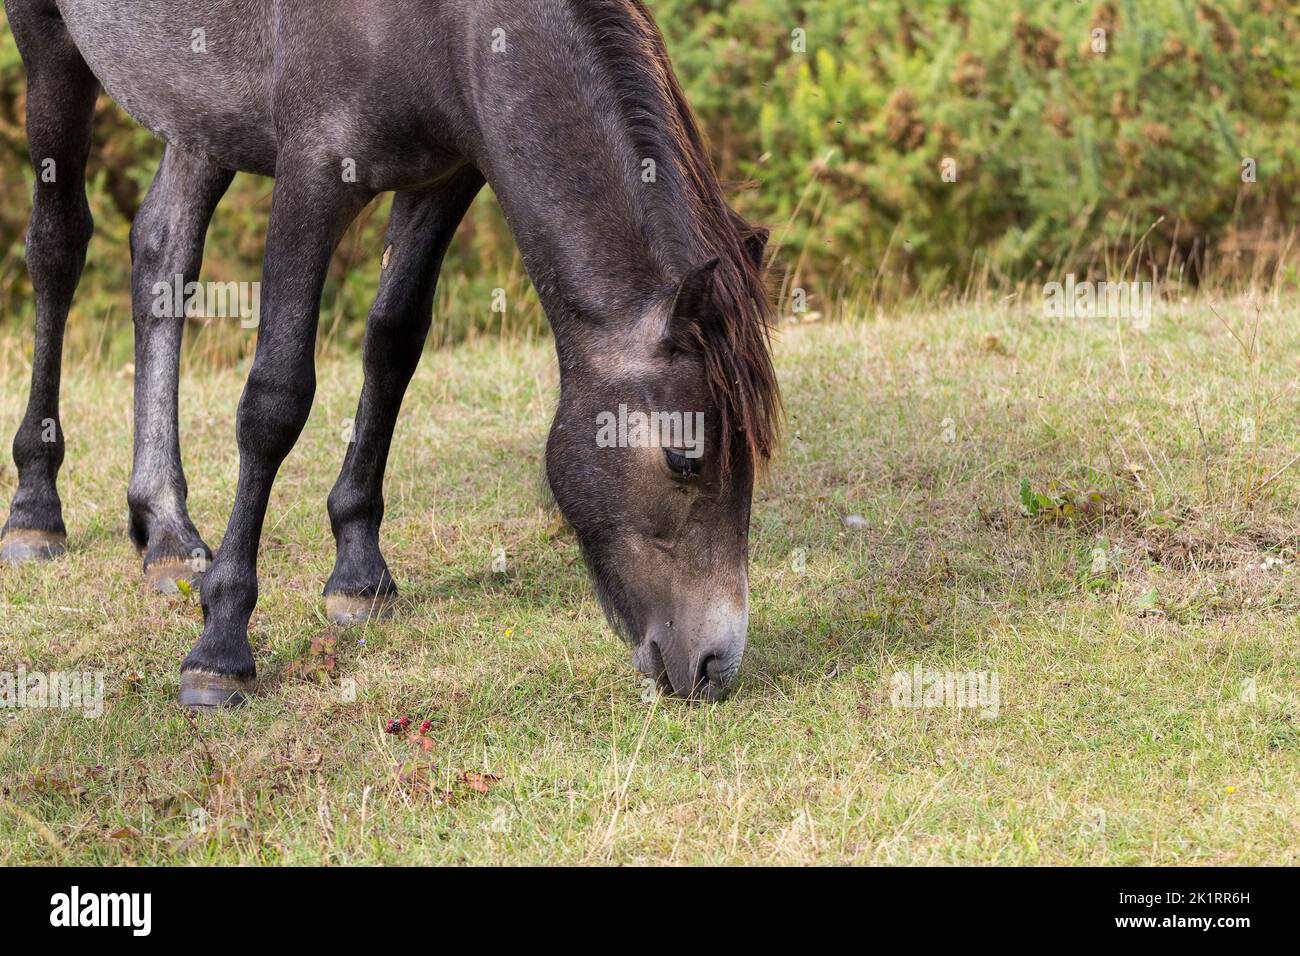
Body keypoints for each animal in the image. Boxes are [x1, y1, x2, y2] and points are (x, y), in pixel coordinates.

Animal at [2, 0, 780, 702]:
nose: (716, 666)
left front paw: (357, 570)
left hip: (197, 109)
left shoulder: (443, 176)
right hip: (51, 48)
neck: (449, 22)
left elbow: (393, 343)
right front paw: (221, 645)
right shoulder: (313, 171)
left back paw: (166, 531)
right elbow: (275, 399)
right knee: (59, 248)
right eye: (684, 458)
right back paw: (35, 508)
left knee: (163, 249)